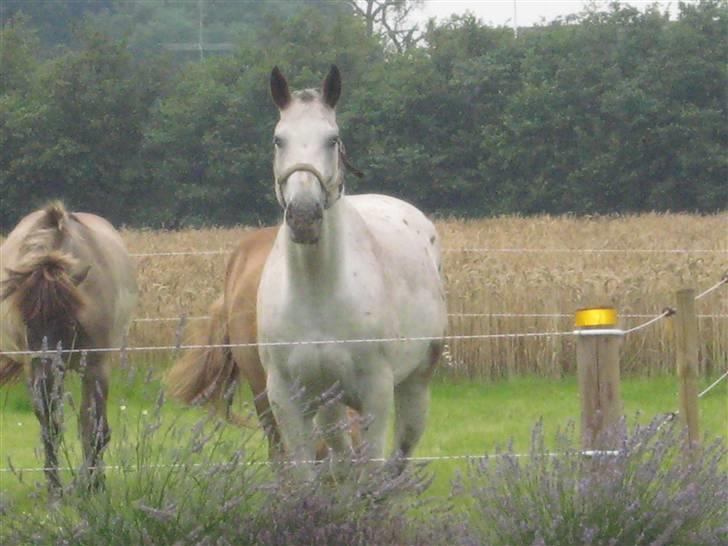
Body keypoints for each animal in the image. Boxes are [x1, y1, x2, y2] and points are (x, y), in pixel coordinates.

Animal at [0, 202, 138, 490]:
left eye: (68, 318)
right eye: (26, 322)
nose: (47, 374)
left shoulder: (97, 366)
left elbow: (94, 427)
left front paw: (93, 485)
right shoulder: (34, 369)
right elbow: (50, 427)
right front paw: (55, 487)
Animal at [256, 65, 450, 472]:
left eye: (333, 139)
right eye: (278, 140)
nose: (304, 216)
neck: (318, 291)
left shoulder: (376, 392)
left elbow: (372, 469)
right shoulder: (287, 397)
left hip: (415, 386)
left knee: (398, 460)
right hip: (329, 405)